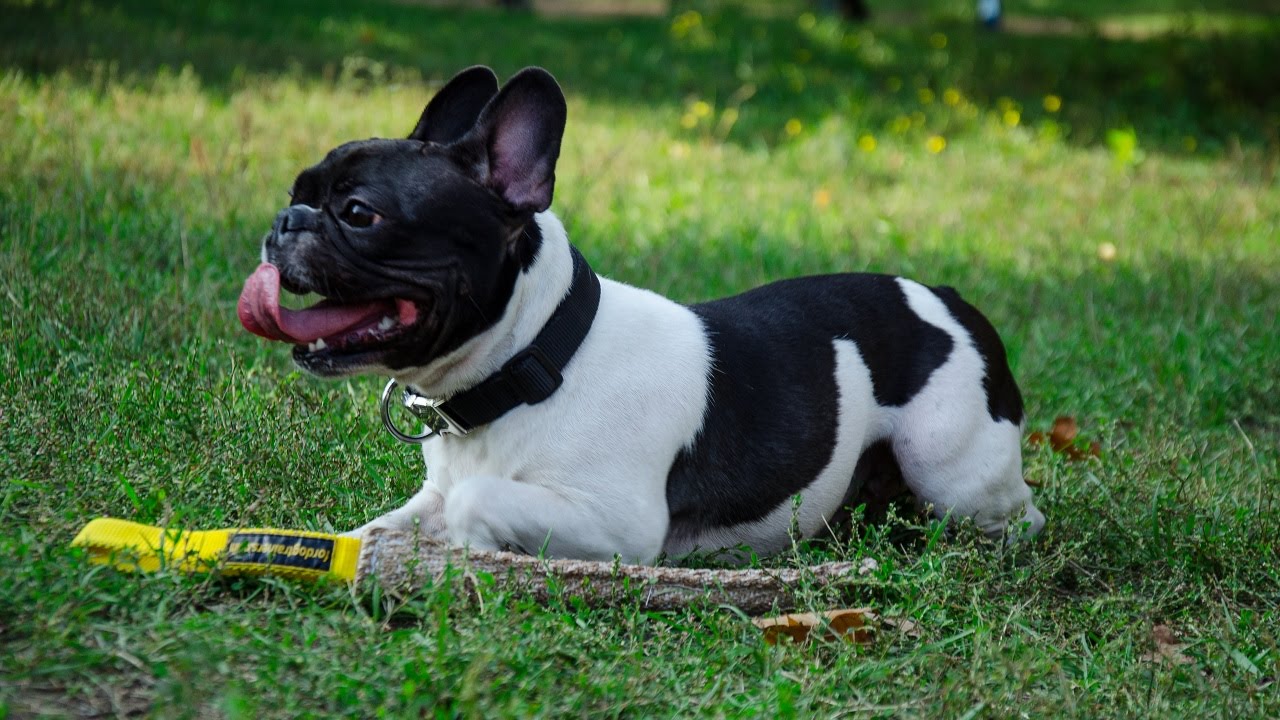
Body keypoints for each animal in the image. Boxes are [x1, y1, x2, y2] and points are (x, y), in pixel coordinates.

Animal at [238, 65, 1039, 561]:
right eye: (299, 190)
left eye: (359, 213)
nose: (285, 219)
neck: (537, 362)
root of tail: (946, 297)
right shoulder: (434, 490)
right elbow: (384, 525)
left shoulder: (618, 521)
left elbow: (474, 504)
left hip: (953, 471)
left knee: (1012, 513)